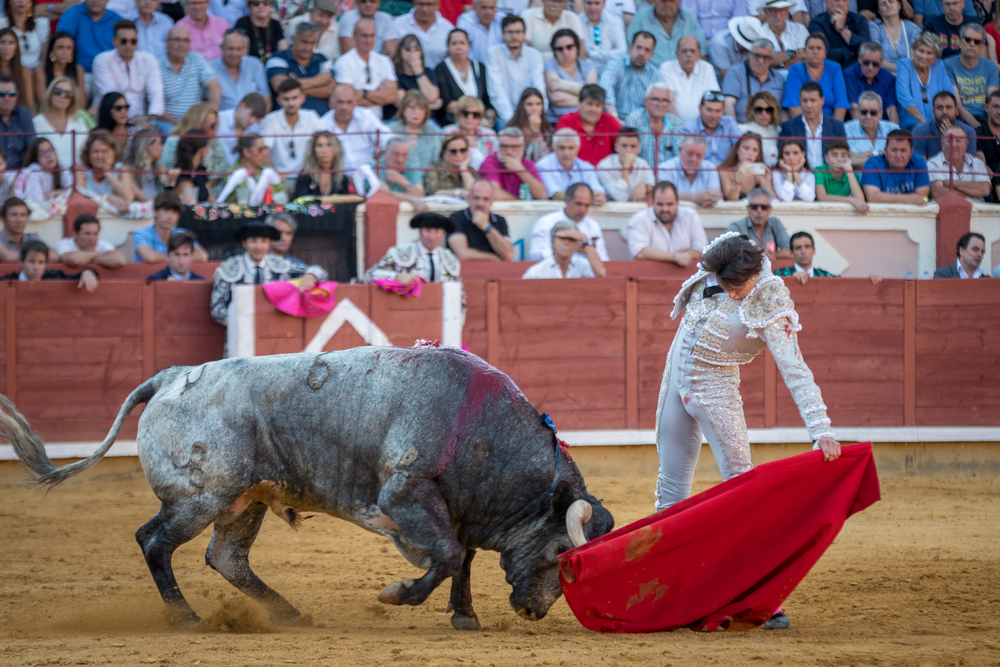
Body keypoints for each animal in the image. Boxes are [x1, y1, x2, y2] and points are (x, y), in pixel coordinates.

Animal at [1, 344, 616, 632]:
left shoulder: (456, 509)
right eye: (559, 553)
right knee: (154, 541)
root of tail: (171, 376)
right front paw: (399, 594)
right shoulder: (406, 497)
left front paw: (464, 616)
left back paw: (287, 613)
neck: (484, 432)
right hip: (198, 497)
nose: (534, 612)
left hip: (241, 501)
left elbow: (460, 558)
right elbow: (444, 556)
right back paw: (187, 618)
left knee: (226, 557)